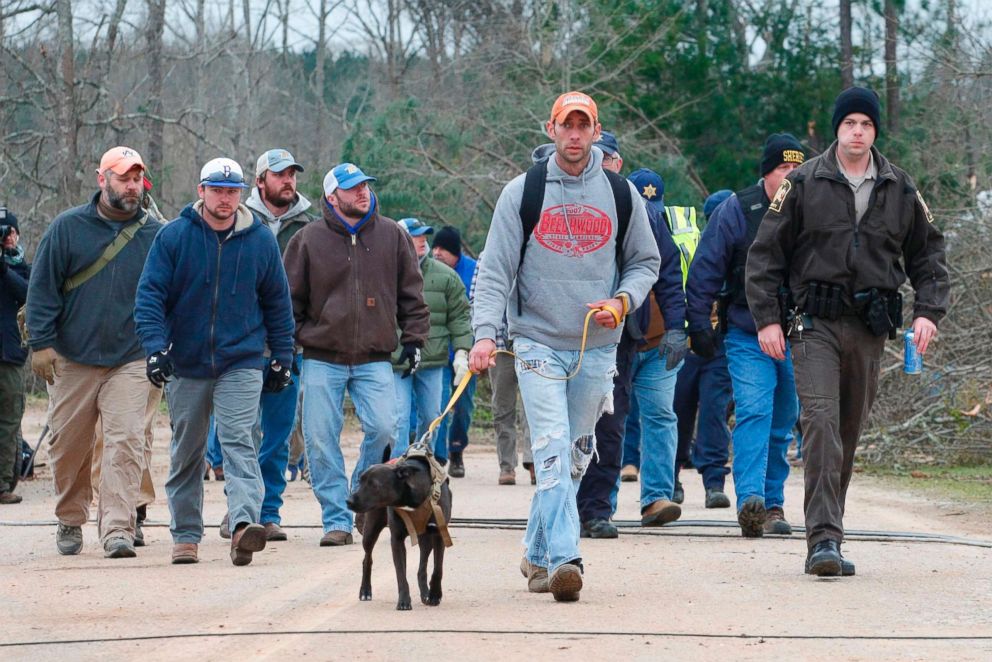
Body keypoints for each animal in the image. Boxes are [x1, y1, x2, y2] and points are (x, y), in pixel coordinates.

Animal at [344, 456, 454, 612]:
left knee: (422, 567)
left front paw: (434, 595)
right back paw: (365, 591)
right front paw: (404, 601)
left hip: (425, 540)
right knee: (367, 559)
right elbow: (401, 574)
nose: (348, 501)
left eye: (374, 485)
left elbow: (437, 569)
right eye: (360, 481)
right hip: (370, 531)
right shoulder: (397, 539)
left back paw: (425, 593)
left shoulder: (440, 533)